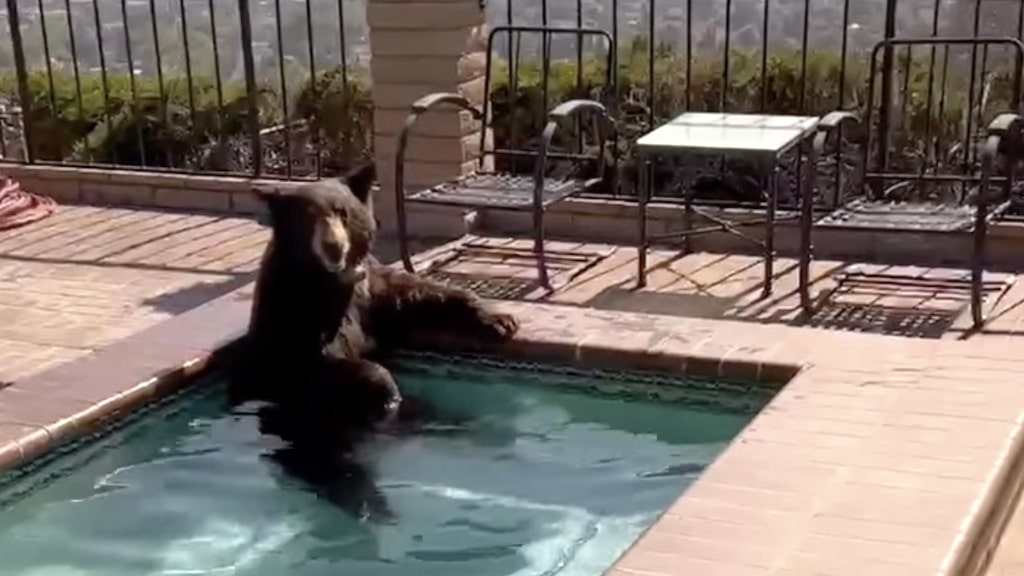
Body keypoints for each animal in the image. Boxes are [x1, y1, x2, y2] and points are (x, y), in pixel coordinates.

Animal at [238, 161, 519, 438]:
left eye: (343, 213)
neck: (334, 280)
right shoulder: (292, 309)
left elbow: (414, 294)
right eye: (307, 217)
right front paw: (386, 389)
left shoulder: (369, 290)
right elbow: (315, 363)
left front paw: (500, 320)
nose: (333, 246)